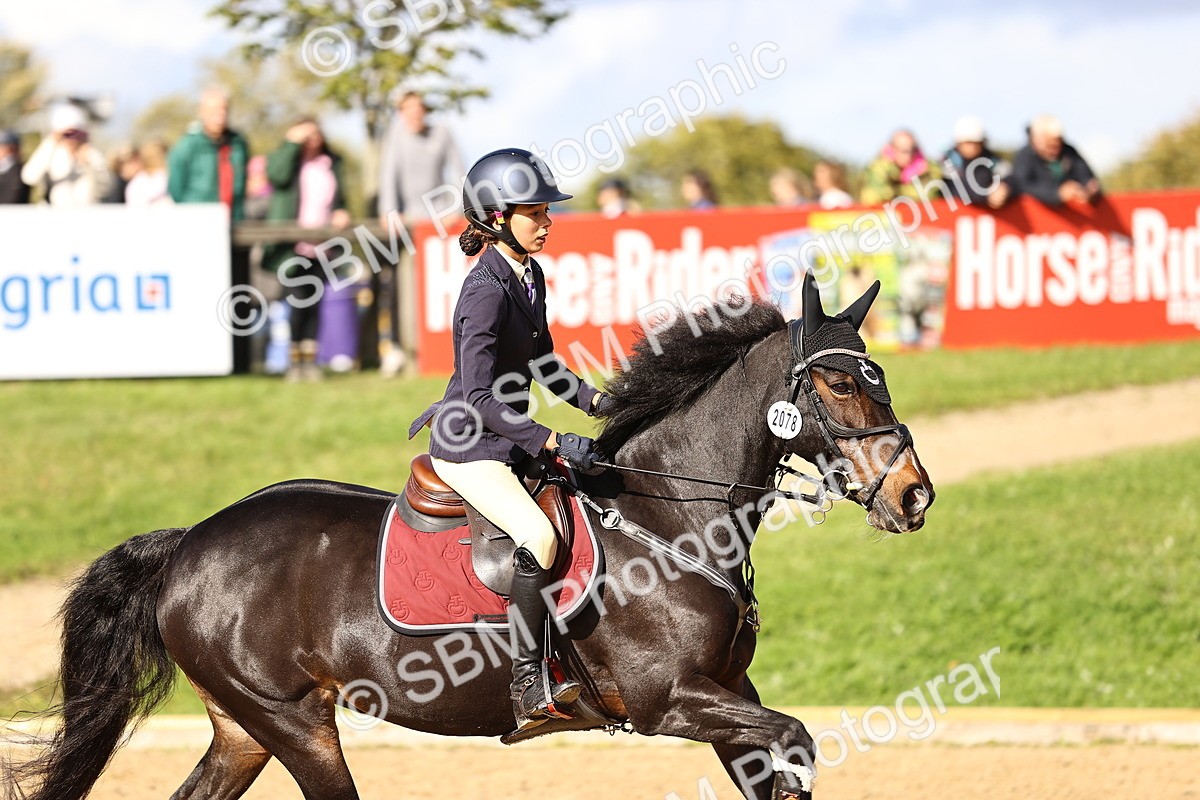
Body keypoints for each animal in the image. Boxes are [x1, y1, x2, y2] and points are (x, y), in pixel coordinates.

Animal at [11, 277, 933, 800]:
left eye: (880, 375)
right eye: (841, 385)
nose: (913, 495)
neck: (670, 517)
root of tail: (190, 543)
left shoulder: (729, 694)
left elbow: (782, 764)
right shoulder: (669, 700)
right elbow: (796, 740)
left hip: (243, 729)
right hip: (294, 723)